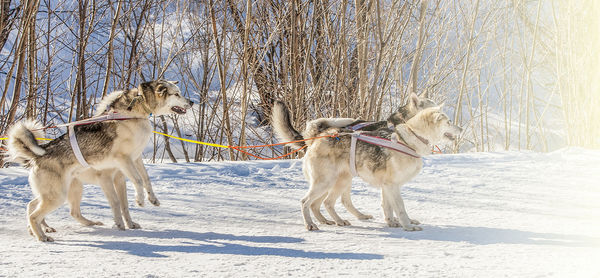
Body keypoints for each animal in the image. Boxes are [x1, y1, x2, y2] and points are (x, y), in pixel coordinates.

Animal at [6, 80, 192, 241]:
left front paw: (149, 202)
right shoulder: (123, 160)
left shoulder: (134, 160)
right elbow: (137, 182)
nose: (191, 101)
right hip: (57, 195)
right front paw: (139, 201)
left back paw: (82, 224)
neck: (134, 110)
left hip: (65, 190)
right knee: (34, 215)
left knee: (42, 207)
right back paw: (42, 236)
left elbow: (143, 182)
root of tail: (39, 155)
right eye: (177, 94)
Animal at [274, 102, 462, 230]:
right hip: (326, 183)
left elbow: (388, 207)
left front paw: (392, 222)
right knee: (307, 202)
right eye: (449, 122)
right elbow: (400, 208)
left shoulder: (387, 186)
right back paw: (312, 224)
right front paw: (408, 226)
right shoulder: (392, 186)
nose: (460, 129)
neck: (408, 140)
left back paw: (333, 220)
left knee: (324, 203)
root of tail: (318, 137)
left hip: (336, 182)